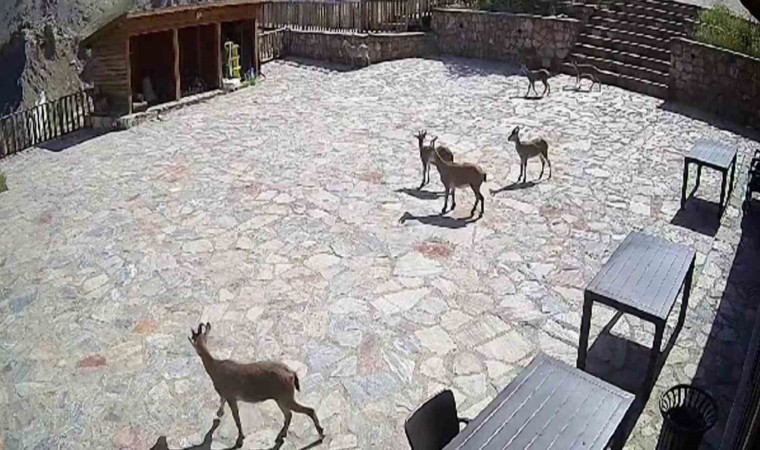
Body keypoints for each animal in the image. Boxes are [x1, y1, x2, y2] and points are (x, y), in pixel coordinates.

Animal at [188, 323, 324, 449]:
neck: (215, 369)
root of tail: (292, 375)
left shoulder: (231, 396)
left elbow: (236, 418)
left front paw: (240, 439)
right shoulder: (225, 394)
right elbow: (222, 402)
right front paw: (219, 414)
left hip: (285, 397)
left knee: (306, 410)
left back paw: (320, 433)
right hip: (281, 398)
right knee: (289, 414)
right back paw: (282, 434)